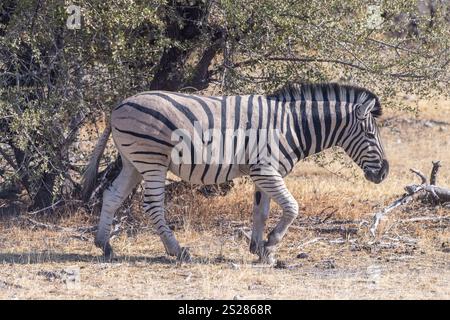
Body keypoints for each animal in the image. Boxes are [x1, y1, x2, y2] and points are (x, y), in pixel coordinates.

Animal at [82, 83, 388, 264]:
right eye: (371, 135)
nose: (384, 173)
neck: (293, 125)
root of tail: (118, 106)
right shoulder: (265, 171)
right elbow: (292, 207)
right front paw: (271, 244)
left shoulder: (264, 173)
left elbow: (261, 212)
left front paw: (260, 250)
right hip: (152, 159)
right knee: (153, 206)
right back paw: (177, 251)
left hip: (133, 161)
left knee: (112, 195)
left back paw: (104, 245)